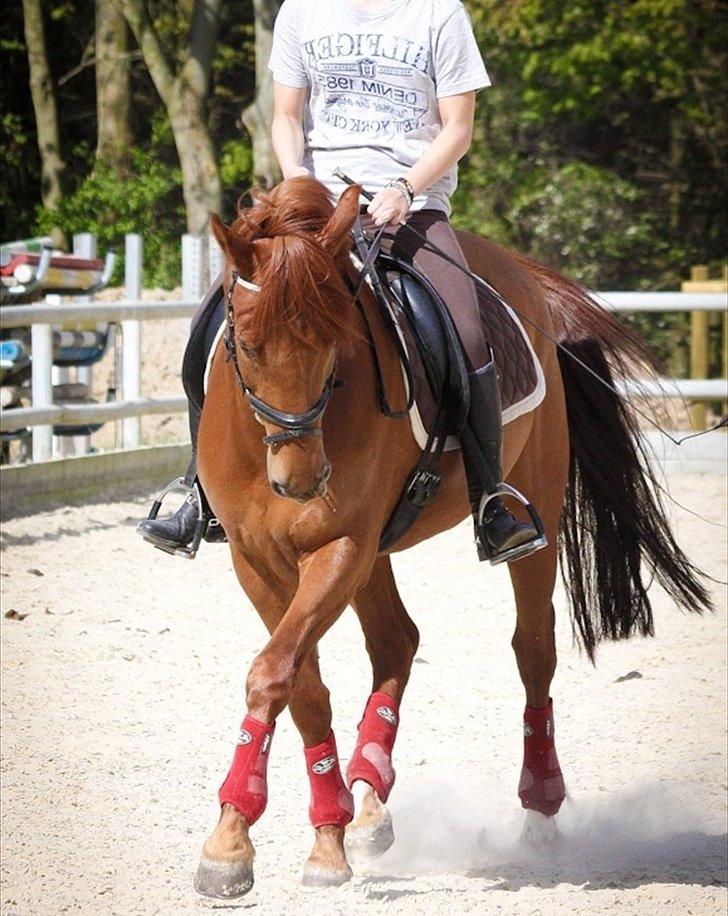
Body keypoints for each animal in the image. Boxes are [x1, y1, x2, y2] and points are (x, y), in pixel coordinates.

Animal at [192, 175, 709, 897]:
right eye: (244, 341)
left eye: (334, 342)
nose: (301, 481)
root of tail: (522, 276)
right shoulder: (256, 558)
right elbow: (300, 685)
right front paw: (306, 838)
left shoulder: (340, 546)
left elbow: (273, 673)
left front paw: (232, 843)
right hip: (373, 553)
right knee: (397, 642)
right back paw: (369, 799)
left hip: (530, 511)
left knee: (533, 651)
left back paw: (540, 811)